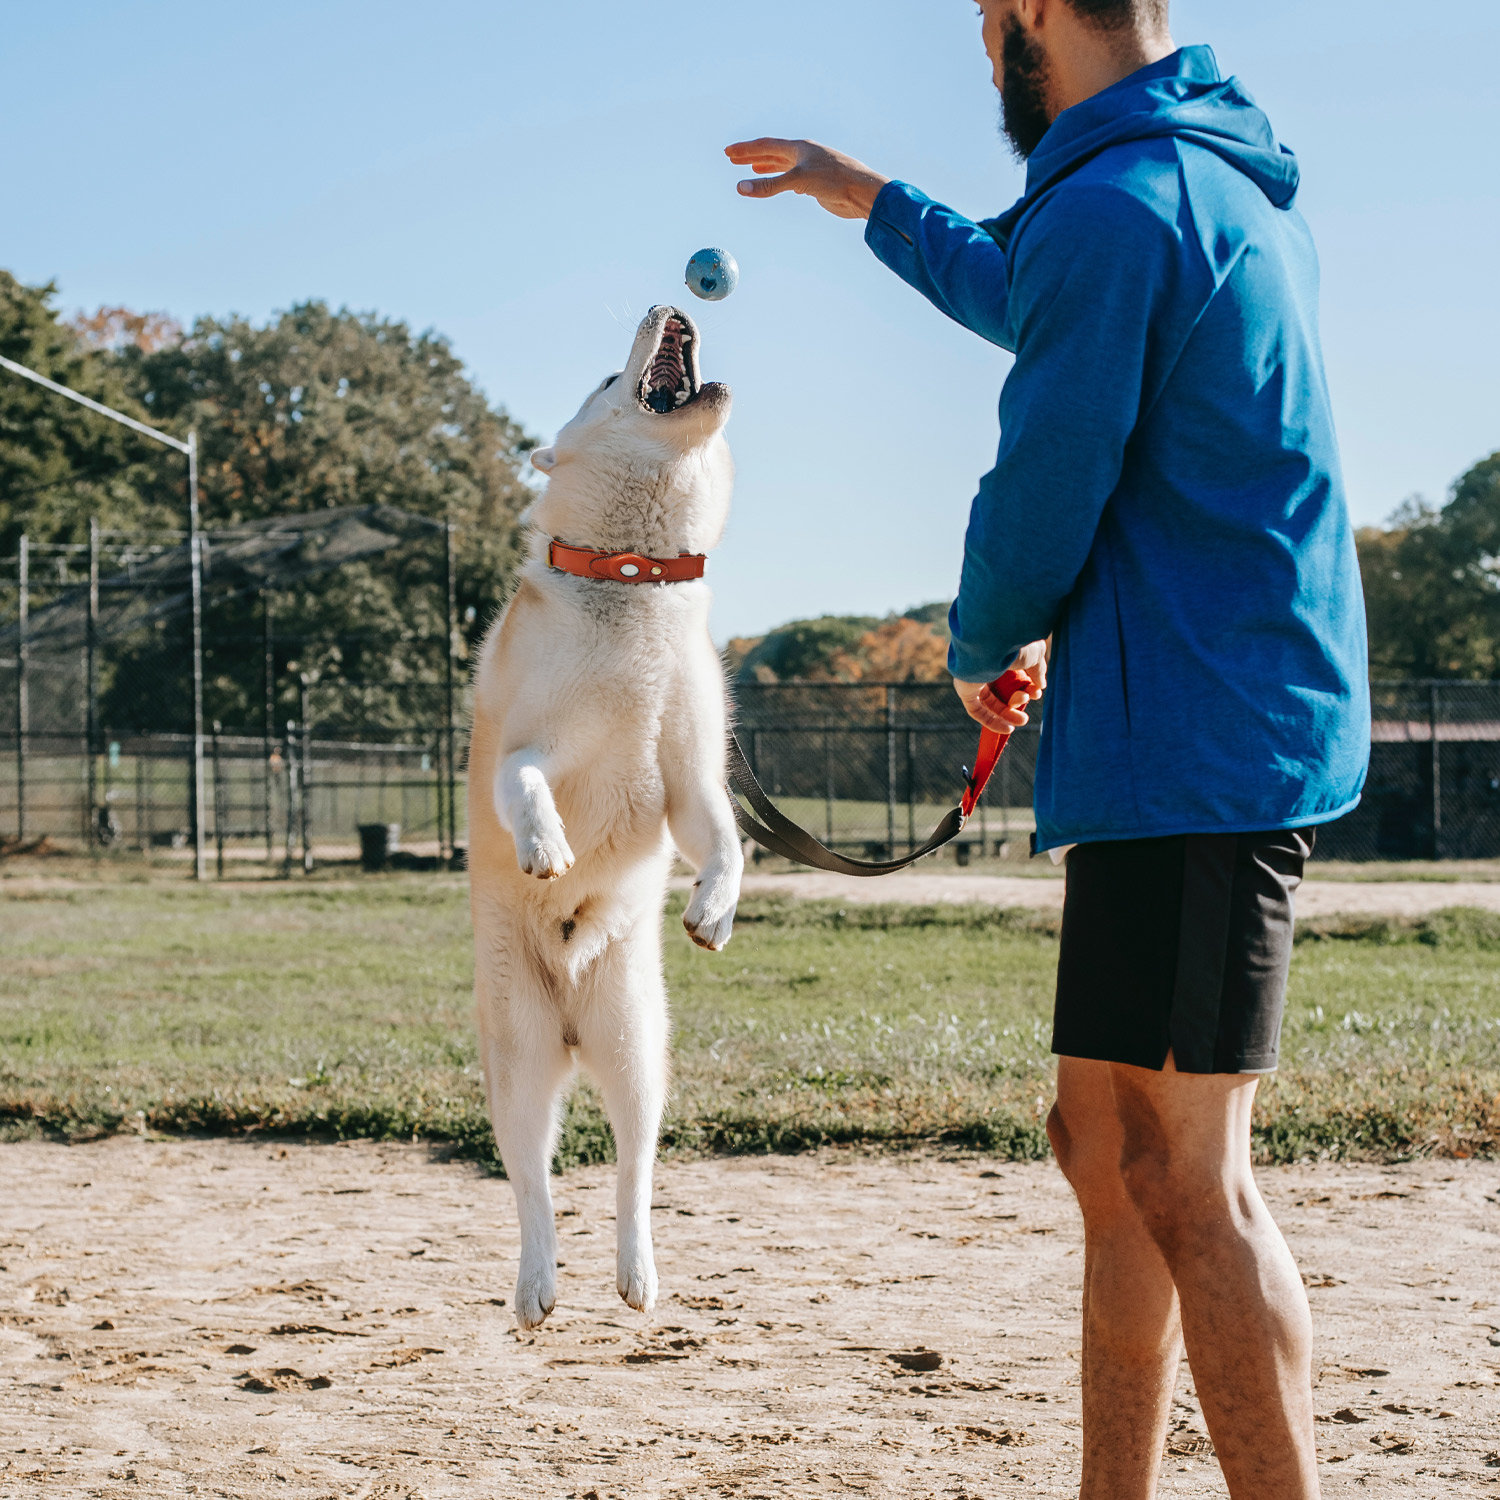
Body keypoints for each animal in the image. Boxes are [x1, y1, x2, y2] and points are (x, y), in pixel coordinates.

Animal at [468, 301, 744, 1326]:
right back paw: (538, 1283)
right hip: (519, 1065)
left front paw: (713, 909)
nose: (670, 303)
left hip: (636, 1057)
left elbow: (728, 844)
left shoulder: (691, 782)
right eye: (600, 380)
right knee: (533, 1185)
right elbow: (525, 786)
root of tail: (574, 1026)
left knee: (633, 1170)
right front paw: (547, 845)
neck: (635, 577)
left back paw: (637, 1272)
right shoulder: (529, 747)